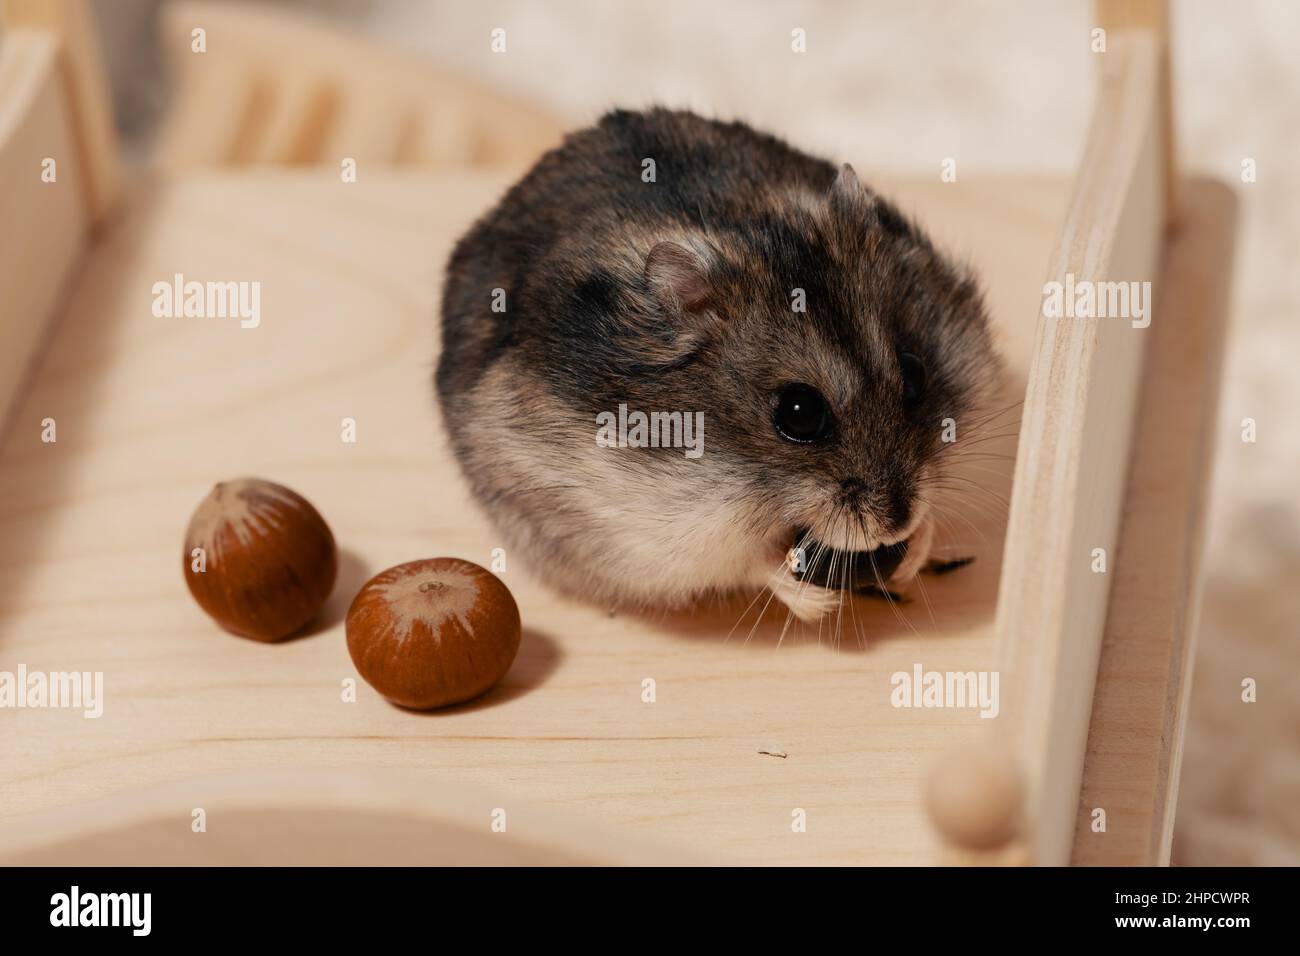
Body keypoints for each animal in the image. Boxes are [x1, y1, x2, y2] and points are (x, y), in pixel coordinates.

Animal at [436, 107, 1000, 622]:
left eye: (915, 374)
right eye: (799, 413)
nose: (896, 524)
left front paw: (915, 553)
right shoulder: (647, 535)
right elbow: (754, 565)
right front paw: (822, 602)